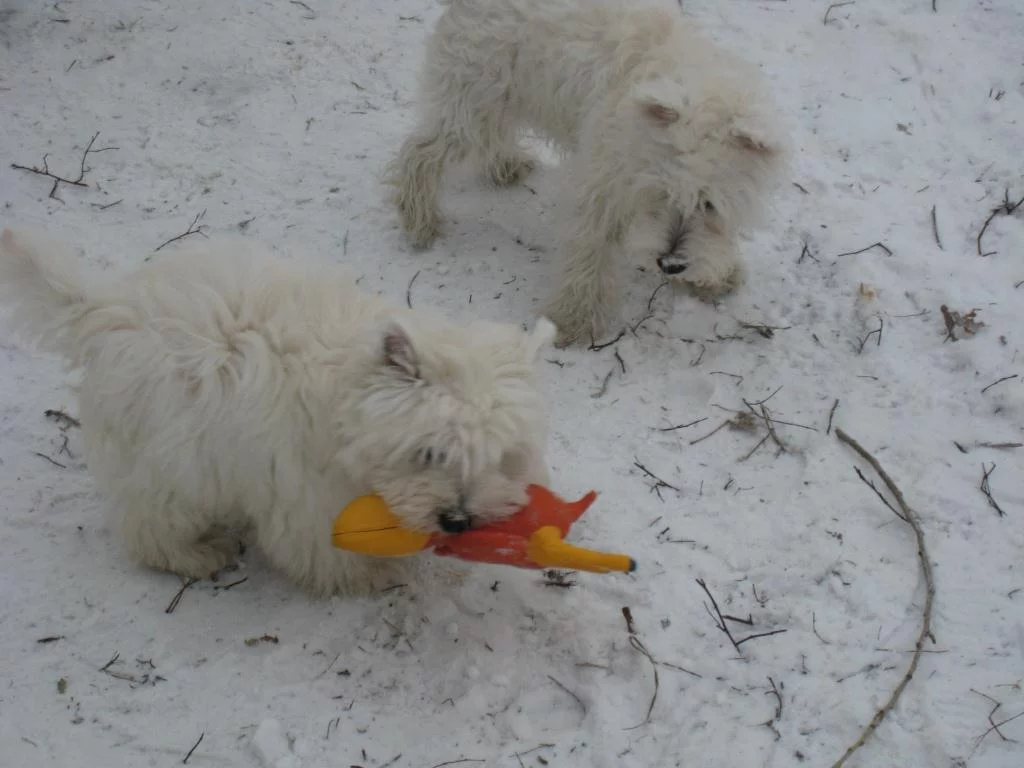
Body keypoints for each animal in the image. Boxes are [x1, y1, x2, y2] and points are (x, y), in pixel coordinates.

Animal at [0, 228, 555, 595]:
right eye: (430, 452)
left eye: (499, 458)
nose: (458, 520)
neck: (345, 406)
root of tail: (100, 310)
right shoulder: (304, 494)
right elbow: (324, 549)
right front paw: (373, 573)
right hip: (171, 461)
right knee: (149, 526)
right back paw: (198, 555)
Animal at [389, 0, 787, 344]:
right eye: (662, 193)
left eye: (711, 205)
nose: (670, 264)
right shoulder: (601, 185)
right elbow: (589, 250)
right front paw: (573, 320)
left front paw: (715, 274)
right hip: (471, 102)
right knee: (419, 152)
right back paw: (419, 221)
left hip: (495, 100)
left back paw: (505, 166)